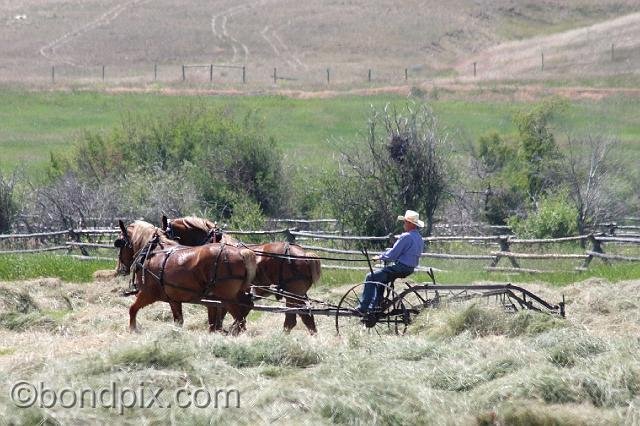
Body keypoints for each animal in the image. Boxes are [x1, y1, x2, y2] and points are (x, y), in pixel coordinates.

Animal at [115, 221, 258, 334]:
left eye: (120, 243)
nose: (121, 269)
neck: (153, 253)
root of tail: (241, 252)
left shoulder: (147, 293)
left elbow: (132, 309)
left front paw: (133, 329)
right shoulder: (174, 300)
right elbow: (179, 321)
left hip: (227, 298)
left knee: (239, 316)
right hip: (236, 293)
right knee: (246, 306)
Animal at [160, 216, 320, 332]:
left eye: (166, 234)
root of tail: (306, 255)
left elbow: (219, 316)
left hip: (292, 294)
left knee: (294, 319)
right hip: (297, 294)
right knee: (305, 318)